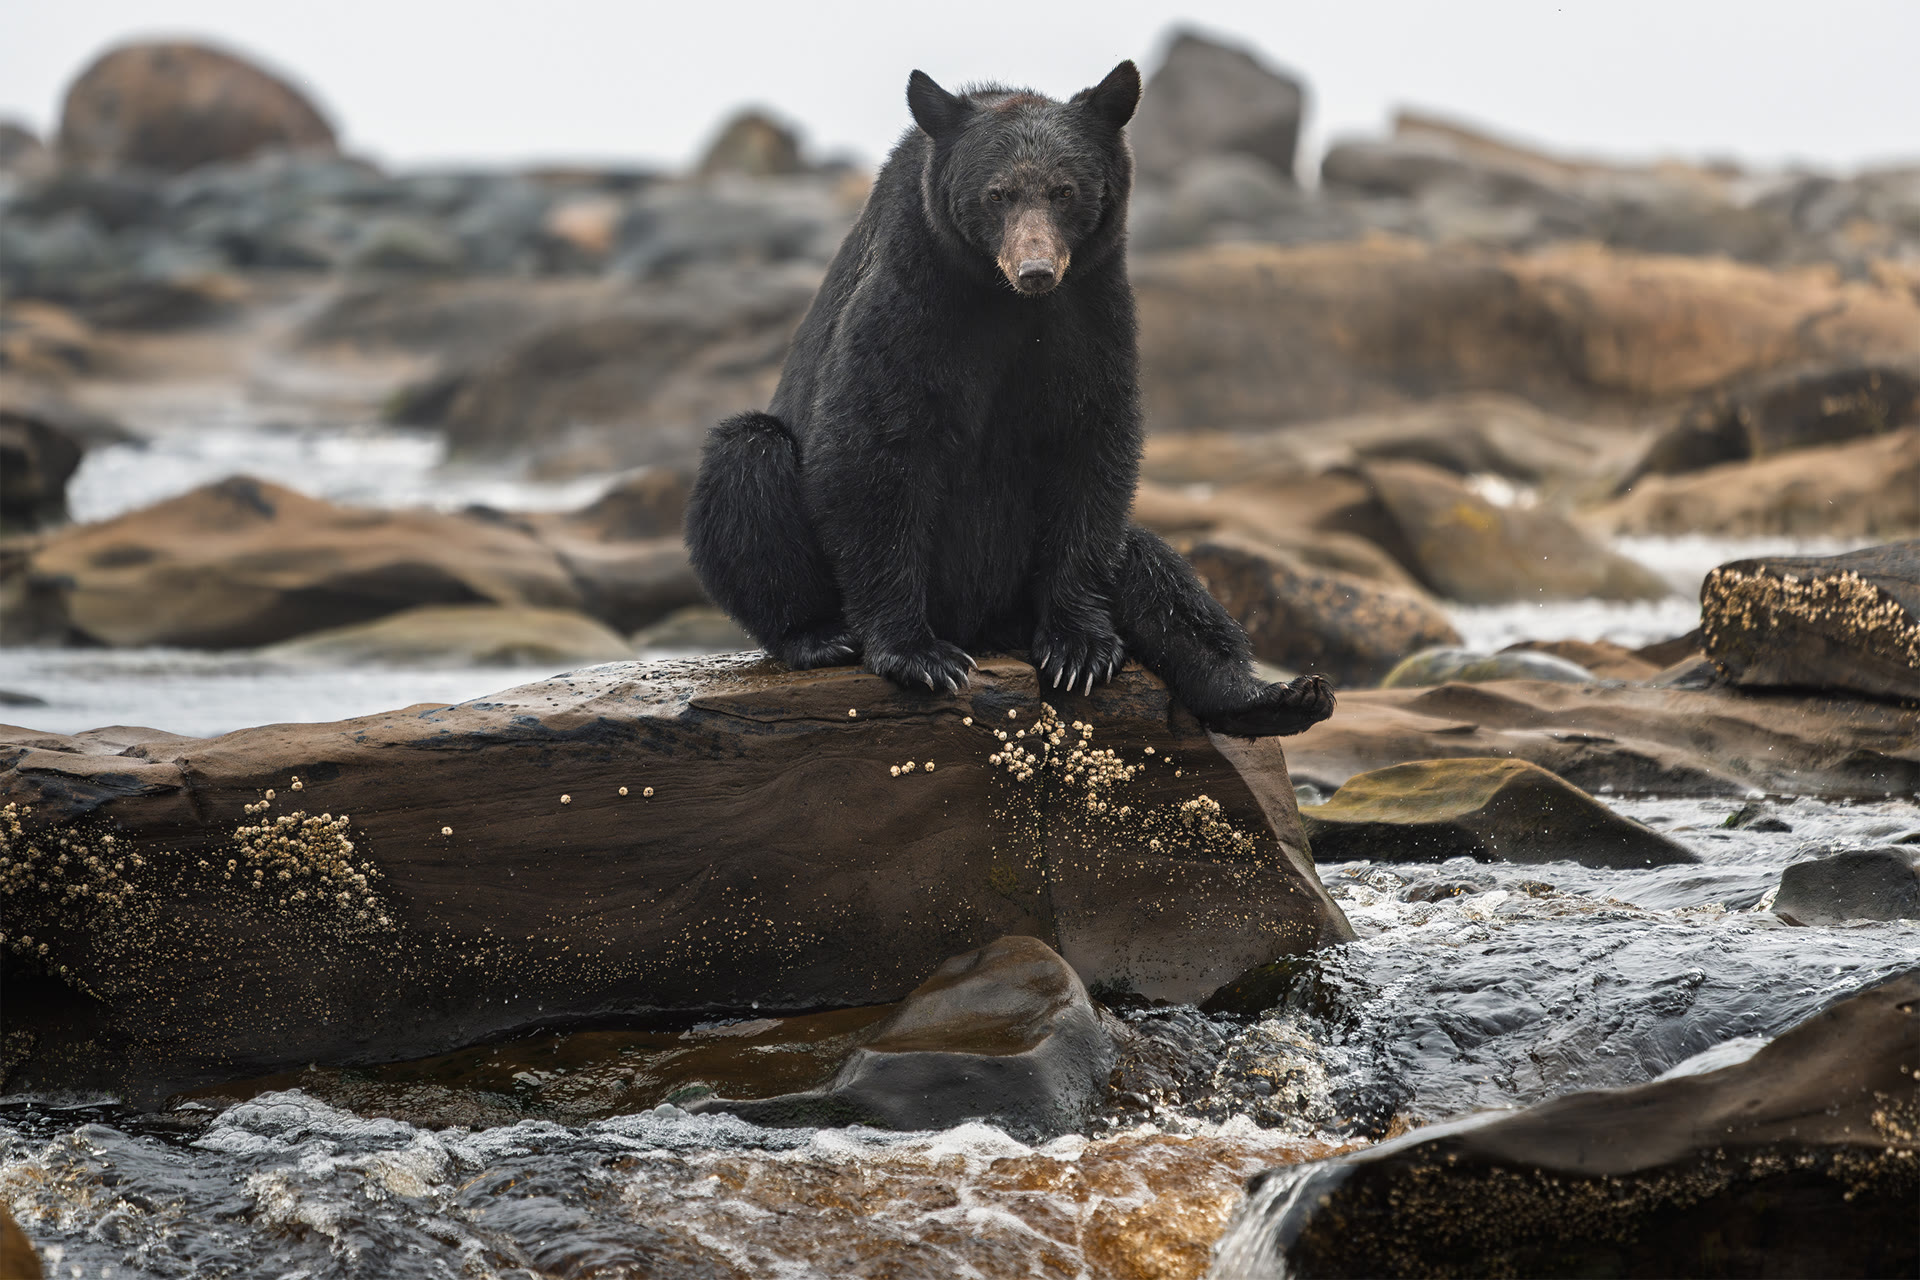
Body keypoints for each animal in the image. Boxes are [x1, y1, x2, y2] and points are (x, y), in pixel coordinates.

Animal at [684, 60, 1334, 738]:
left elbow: (1093, 448)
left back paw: (1277, 695)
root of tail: (990, 627)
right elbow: (871, 444)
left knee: (1158, 570)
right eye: (996, 193)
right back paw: (819, 636)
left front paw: (1079, 649)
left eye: (1064, 190)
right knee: (748, 463)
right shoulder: (910, 301)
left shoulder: (1091, 312)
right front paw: (918, 655)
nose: (1036, 270)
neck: (1005, 301)